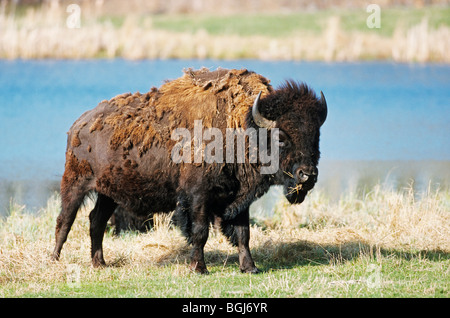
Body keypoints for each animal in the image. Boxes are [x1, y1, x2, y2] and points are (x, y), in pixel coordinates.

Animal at [52, 68, 326, 274]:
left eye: (315, 136)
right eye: (281, 137)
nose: (308, 175)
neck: (242, 127)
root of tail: (79, 124)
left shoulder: (239, 199)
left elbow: (243, 234)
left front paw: (250, 268)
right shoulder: (197, 196)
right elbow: (199, 232)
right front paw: (199, 268)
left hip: (108, 193)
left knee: (95, 221)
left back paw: (100, 263)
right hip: (75, 184)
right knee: (65, 220)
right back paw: (55, 259)